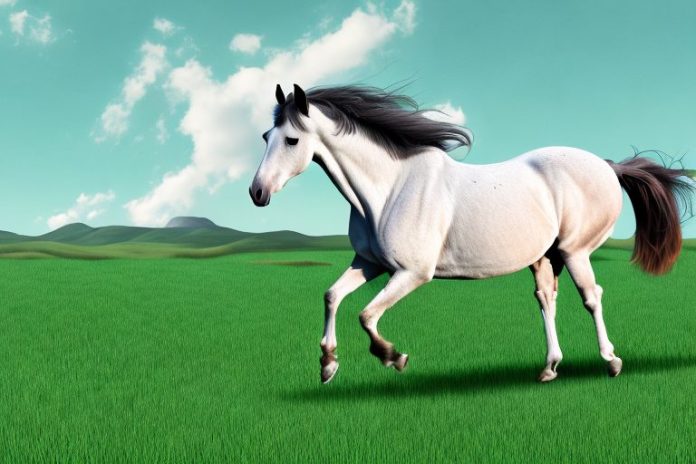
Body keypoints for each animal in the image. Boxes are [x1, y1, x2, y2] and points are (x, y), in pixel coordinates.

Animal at [249, 84, 694, 384]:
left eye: (292, 139)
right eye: (266, 137)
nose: (257, 193)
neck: (390, 188)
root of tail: (608, 166)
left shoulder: (412, 273)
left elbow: (366, 314)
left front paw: (393, 356)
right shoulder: (368, 263)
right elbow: (332, 297)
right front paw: (328, 365)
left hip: (575, 251)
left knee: (592, 297)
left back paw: (611, 361)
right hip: (544, 256)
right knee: (547, 300)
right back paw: (549, 368)